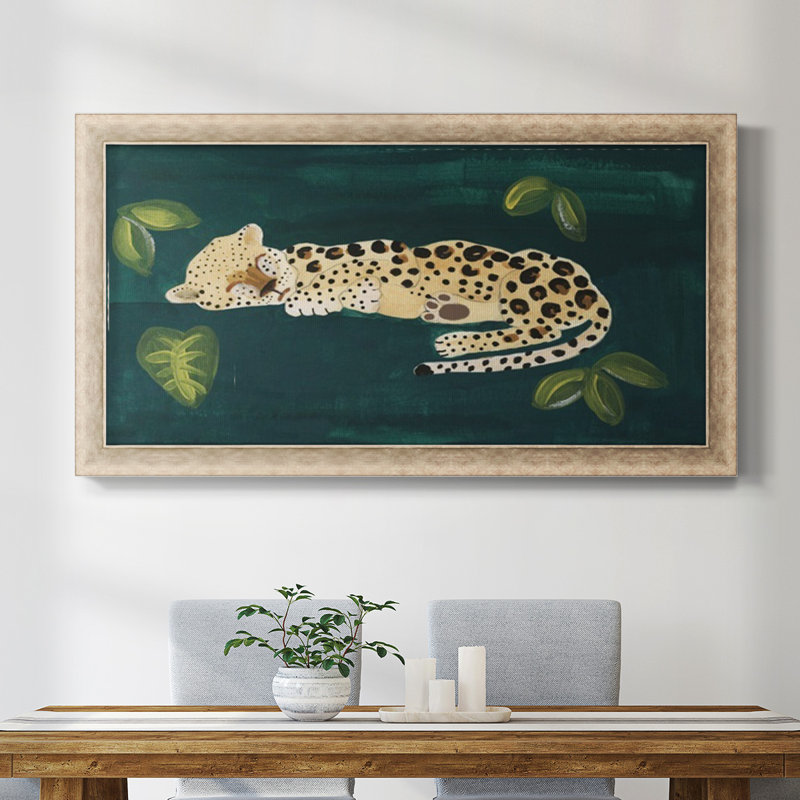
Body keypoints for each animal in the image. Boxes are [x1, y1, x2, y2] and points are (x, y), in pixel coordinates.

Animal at [166, 223, 612, 375]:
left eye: (261, 261)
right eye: (232, 288)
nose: (269, 288)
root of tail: (592, 291)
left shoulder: (391, 253)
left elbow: (348, 272)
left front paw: (322, 293)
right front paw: (317, 301)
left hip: (524, 276)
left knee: (535, 330)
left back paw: (455, 342)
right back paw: (447, 310)